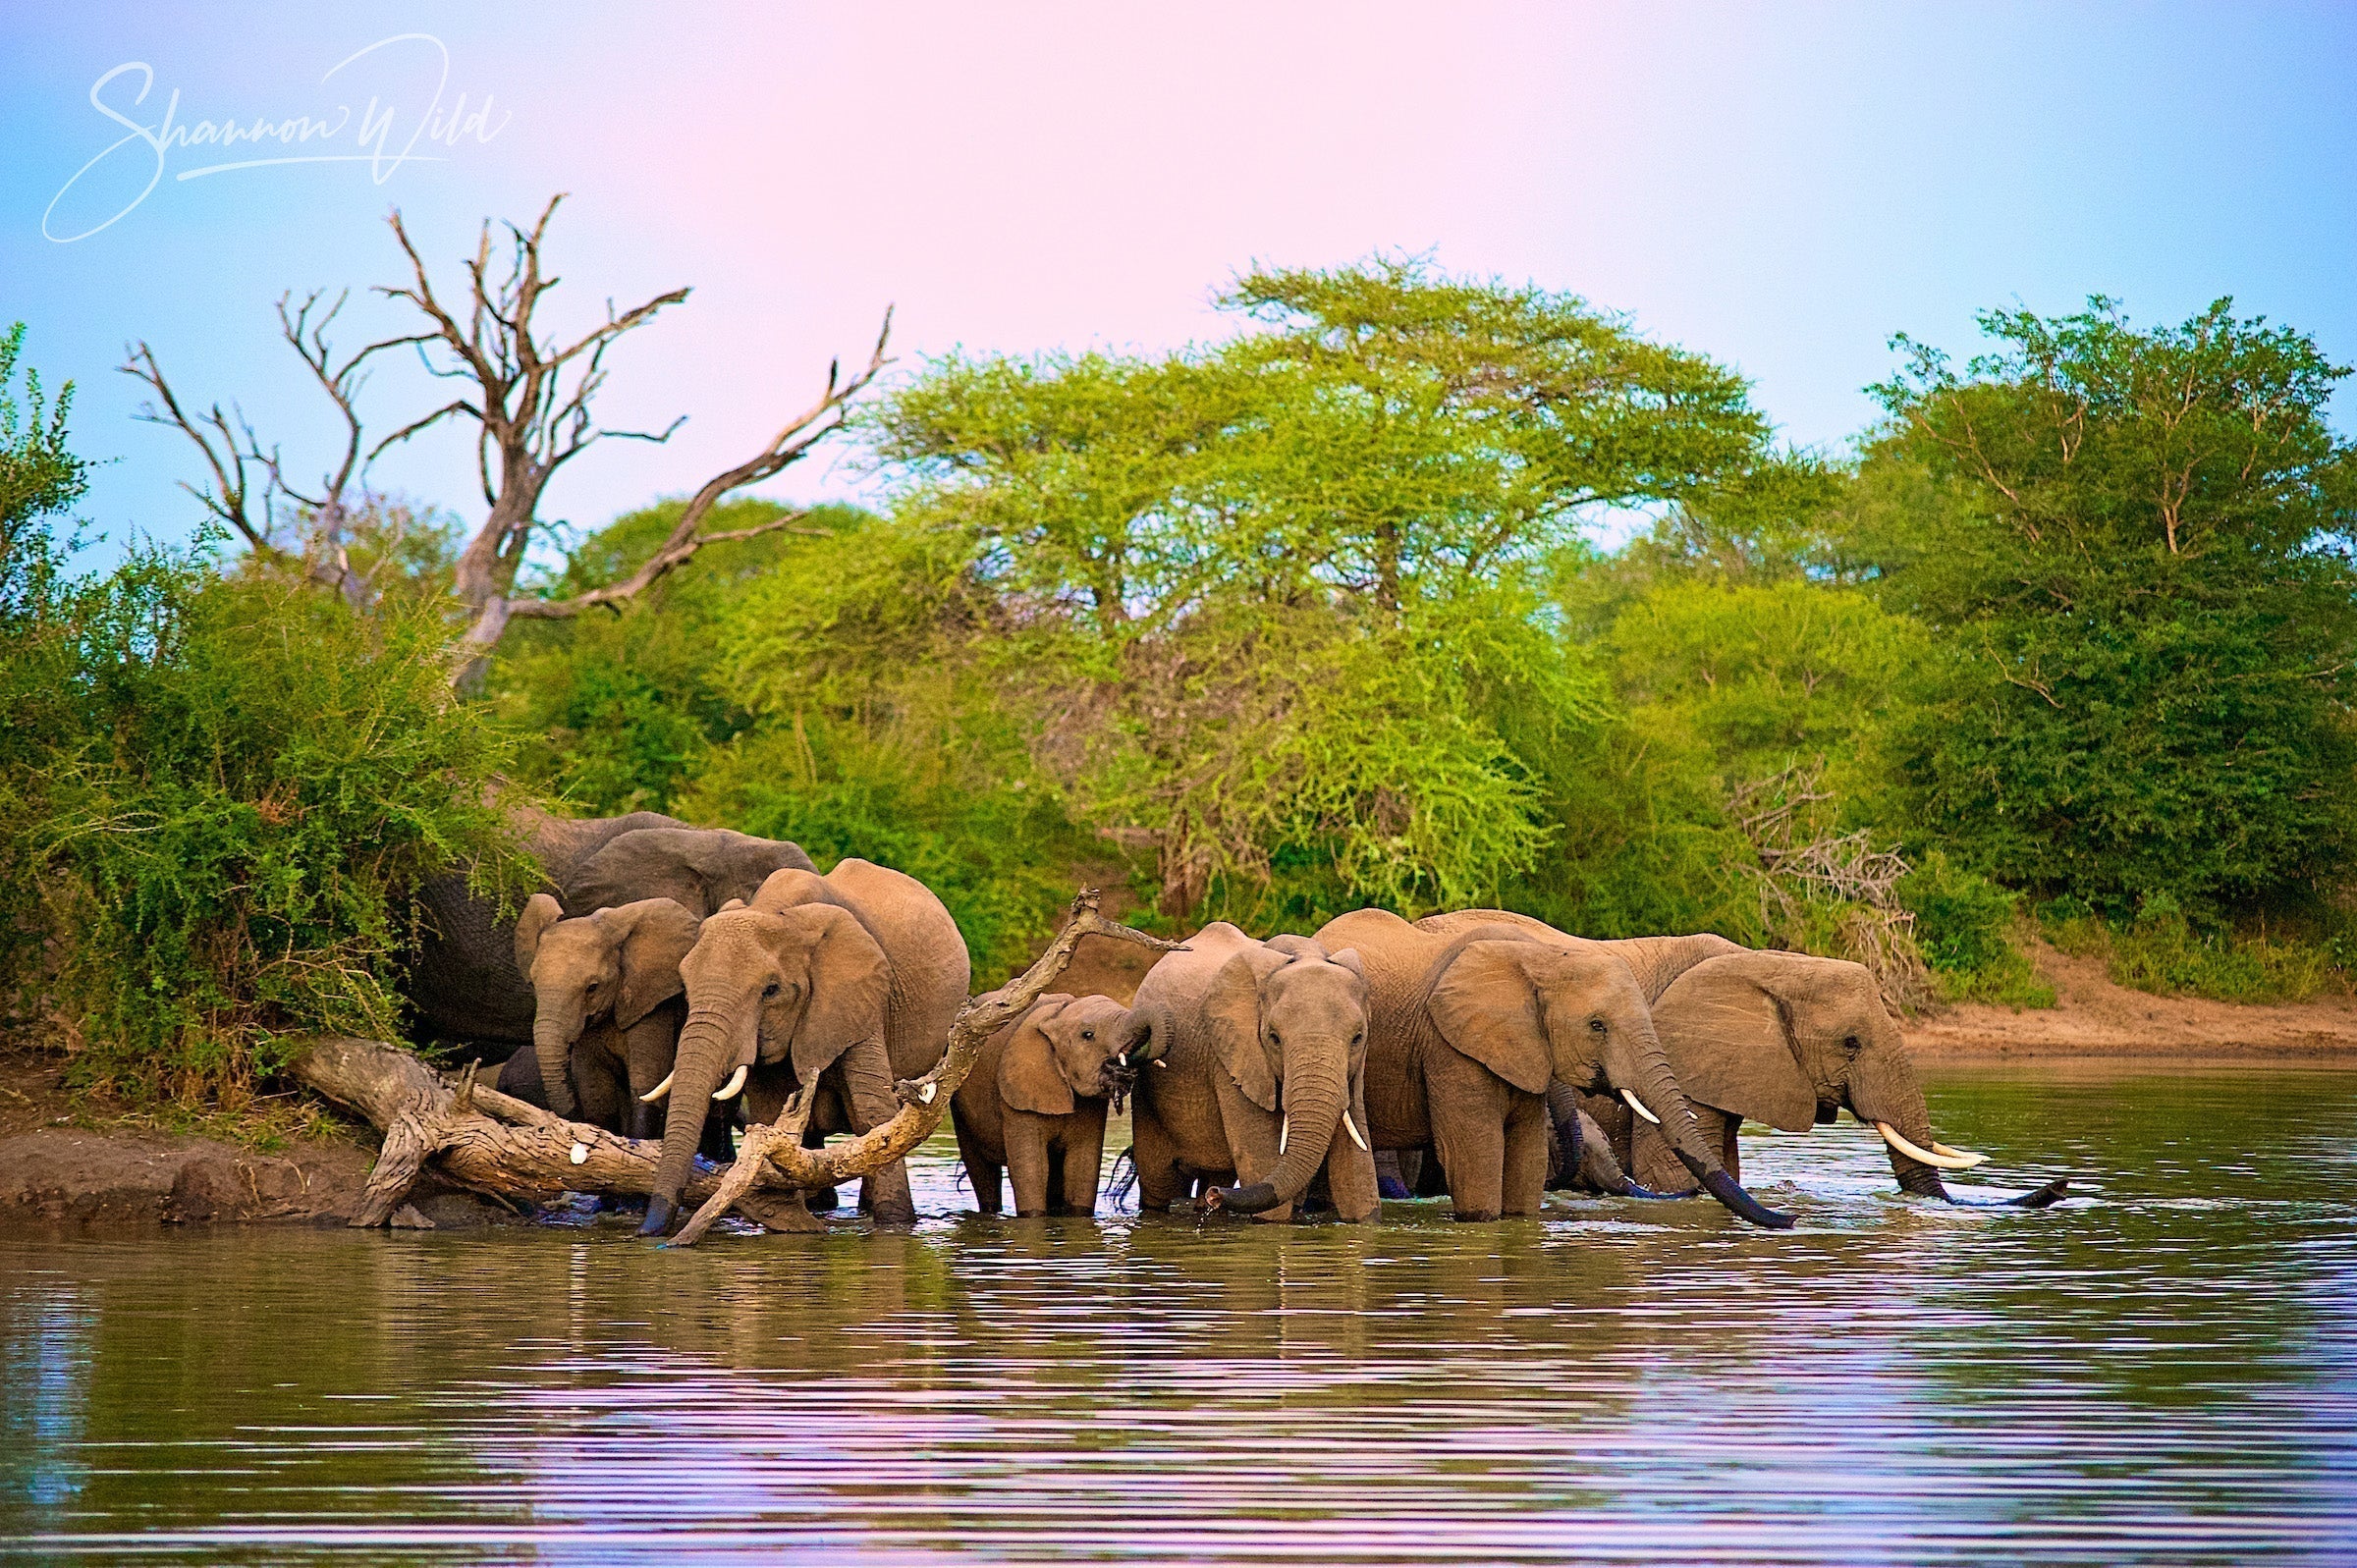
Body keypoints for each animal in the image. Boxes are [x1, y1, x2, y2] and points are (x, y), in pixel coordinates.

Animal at [638, 859, 971, 1236]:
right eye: (685, 984)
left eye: (770, 990)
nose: (648, 1233)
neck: (781, 914)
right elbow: (771, 1116)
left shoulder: (859, 998)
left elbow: (875, 1113)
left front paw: (895, 1225)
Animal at [951, 993, 1147, 1217]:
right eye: (1088, 1035)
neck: (1056, 1016)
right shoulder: (1018, 1097)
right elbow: (1032, 1169)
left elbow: (1081, 1166)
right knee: (981, 1171)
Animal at [1126, 924, 1380, 1224]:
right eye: (1274, 1038)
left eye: (1357, 1038)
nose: (1216, 1196)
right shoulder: (1231, 1058)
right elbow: (1262, 1166)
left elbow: (1357, 1174)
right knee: (1159, 1181)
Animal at [1311, 909, 1792, 1227]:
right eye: (1597, 1026)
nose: (1787, 1220)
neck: (1542, 961)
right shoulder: (1445, 1043)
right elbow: (1473, 1152)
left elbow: (1527, 1155)